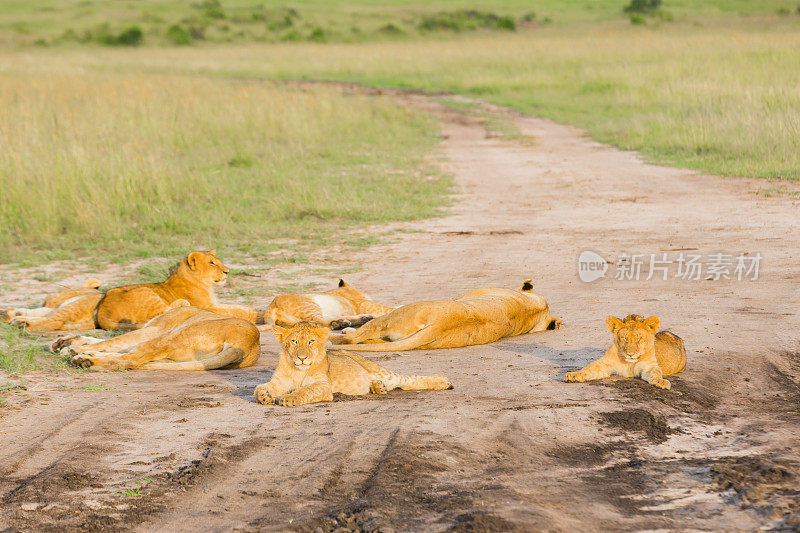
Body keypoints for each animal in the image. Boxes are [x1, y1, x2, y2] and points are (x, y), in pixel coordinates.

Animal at [53, 300, 260, 370]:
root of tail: (248, 343)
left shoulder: (154, 329)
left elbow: (115, 340)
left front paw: (72, 347)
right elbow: (109, 341)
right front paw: (67, 343)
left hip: (170, 337)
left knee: (130, 360)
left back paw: (86, 361)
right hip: (175, 354)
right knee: (136, 358)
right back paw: (86, 356)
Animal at [95, 248, 260, 328]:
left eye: (217, 261)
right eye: (212, 263)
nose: (227, 271)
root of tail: (102, 309)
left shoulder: (214, 304)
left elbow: (236, 307)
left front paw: (257, 310)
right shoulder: (208, 306)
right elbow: (234, 310)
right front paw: (255, 315)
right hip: (146, 292)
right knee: (165, 312)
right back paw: (183, 304)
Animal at [253, 320, 454, 408]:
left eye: (311, 342)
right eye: (294, 342)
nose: (302, 358)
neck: (298, 370)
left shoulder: (323, 386)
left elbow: (306, 390)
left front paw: (290, 398)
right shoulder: (279, 382)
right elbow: (258, 387)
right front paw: (264, 396)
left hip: (381, 371)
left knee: (407, 380)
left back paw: (442, 381)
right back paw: (377, 387)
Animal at [268, 278, 396, 328]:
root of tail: (272, 306)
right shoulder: (364, 304)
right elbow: (387, 308)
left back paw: (359, 320)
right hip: (310, 305)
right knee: (316, 320)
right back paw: (341, 323)